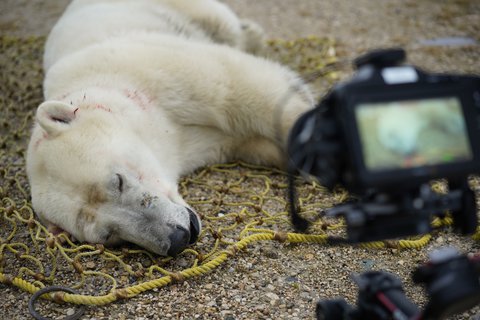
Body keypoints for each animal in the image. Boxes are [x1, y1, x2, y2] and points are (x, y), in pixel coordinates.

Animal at [25, 0, 316, 256]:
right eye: (109, 235)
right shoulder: (199, 143)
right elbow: (252, 143)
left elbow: (241, 87)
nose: (177, 238)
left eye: (117, 181)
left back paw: (251, 33)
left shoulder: (152, 67)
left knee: (224, 25)